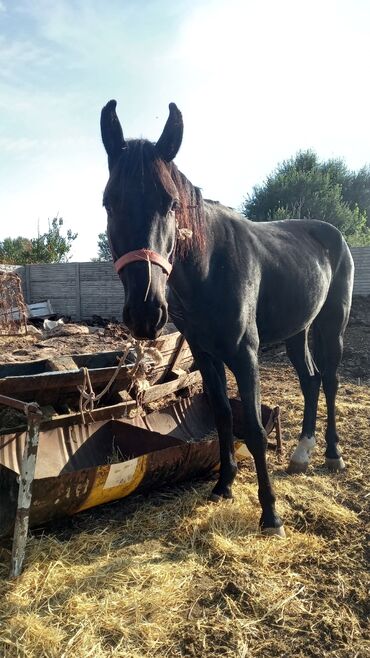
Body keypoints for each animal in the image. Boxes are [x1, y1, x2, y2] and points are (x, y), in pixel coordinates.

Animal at [99, 101, 354, 532]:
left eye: (170, 203)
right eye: (108, 202)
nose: (146, 312)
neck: (209, 268)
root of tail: (334, 235)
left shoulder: (245, 355)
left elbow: (252, 427)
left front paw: (270, 514)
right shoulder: (206, 354)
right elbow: (222, 417)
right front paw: (224, 485)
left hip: (332, 324)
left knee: (331, 380)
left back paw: (332, 455)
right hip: (297, 331)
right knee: (311, 380)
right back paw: (302, 452)